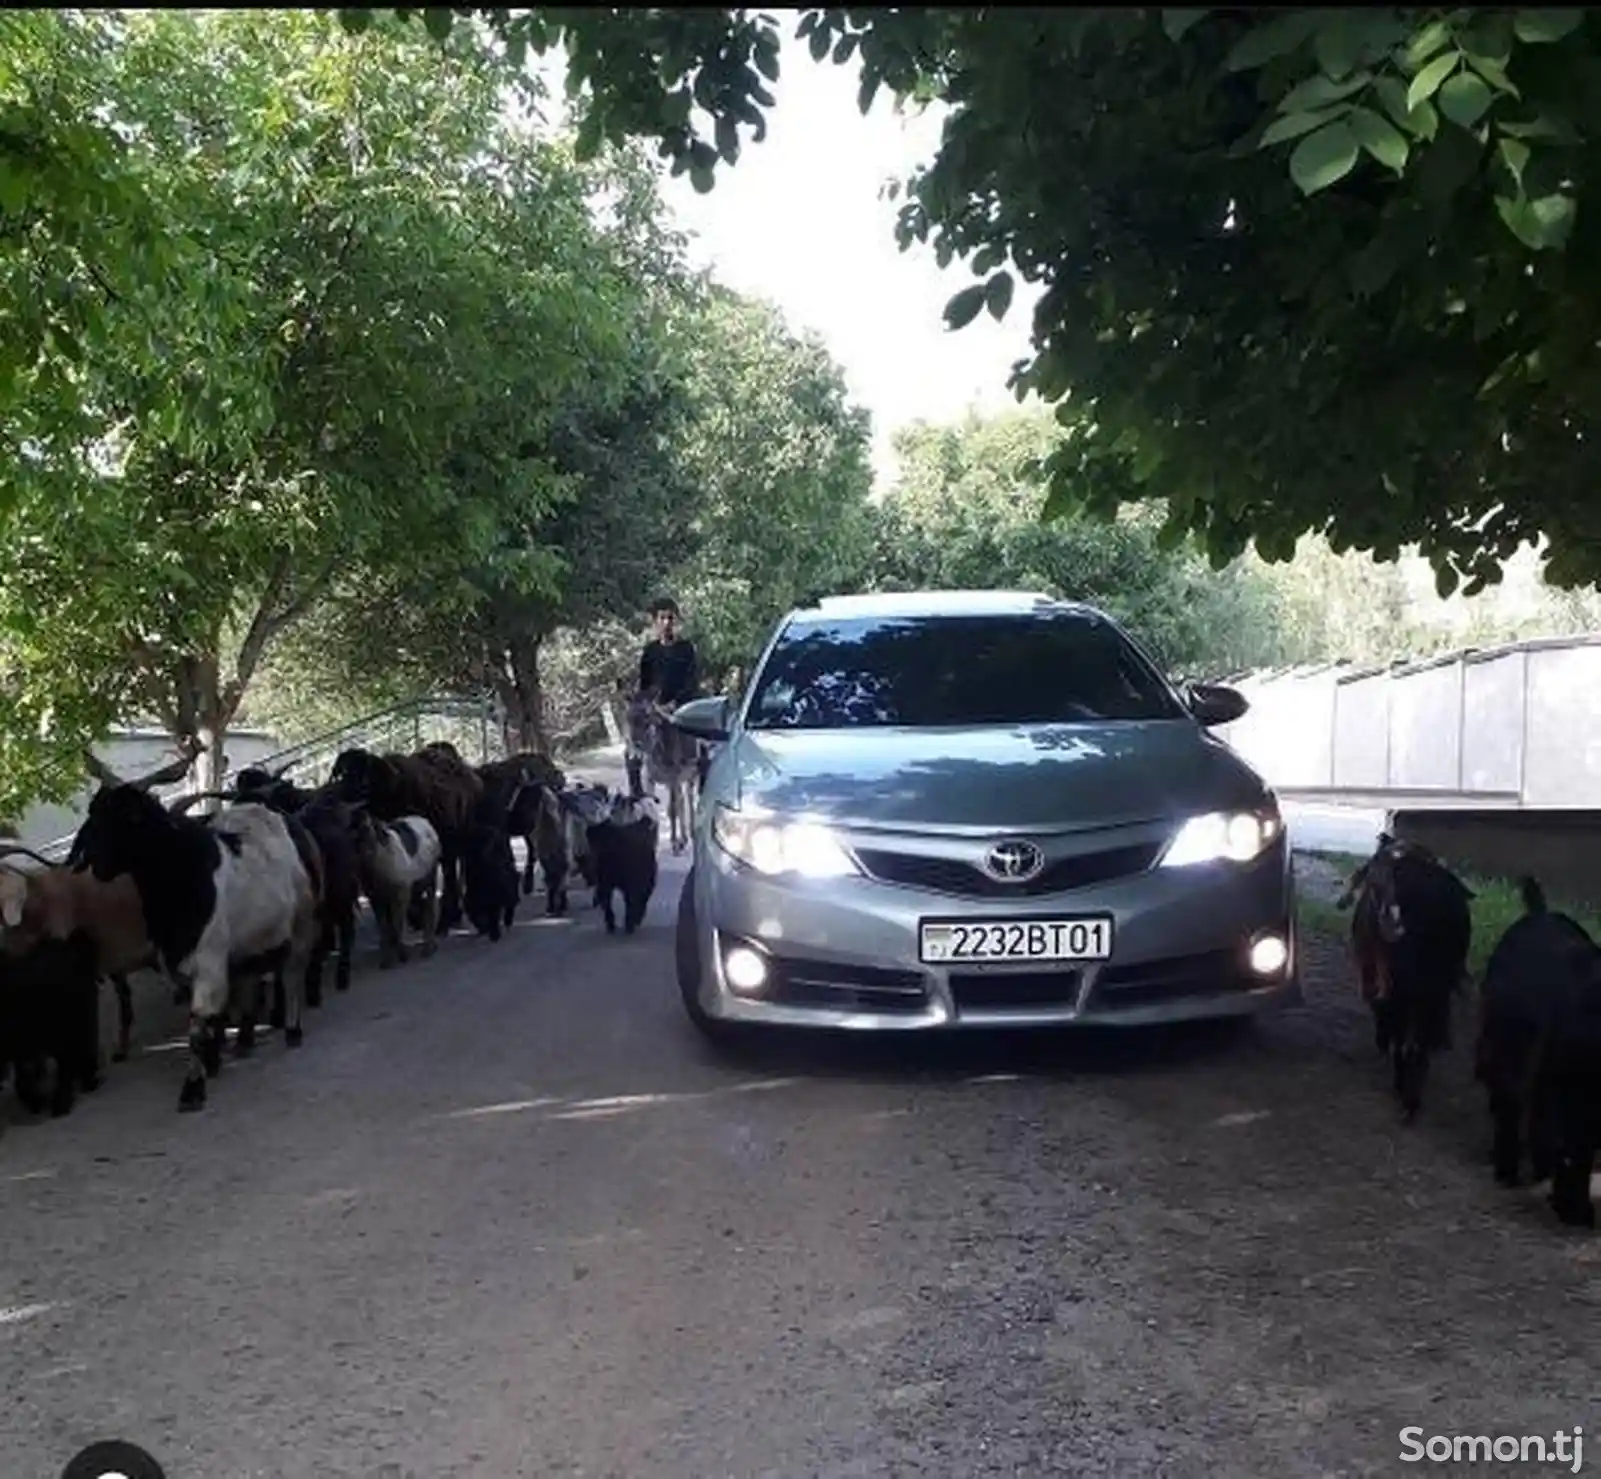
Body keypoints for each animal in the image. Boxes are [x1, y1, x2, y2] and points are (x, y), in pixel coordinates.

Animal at [74, 739, 321, 1107]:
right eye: (94, 811)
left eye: (131, 816)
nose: (95, 863)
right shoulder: (182, 963)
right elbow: (209, 1019)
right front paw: (213, 1062)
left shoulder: (208, 961)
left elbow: (197, 1025)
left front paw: (192, 1088)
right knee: (251, 980)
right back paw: (245, 1039)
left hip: (301, 921)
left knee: (291, 972)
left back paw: (292, 1029)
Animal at [352, 809, 445, 973]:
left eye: (370, 827)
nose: (365, 852)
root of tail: (424, 820)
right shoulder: (375, 898)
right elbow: (384, 926)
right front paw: (386, 959)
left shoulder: (401, 894)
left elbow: (397, 923)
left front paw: (402, 955)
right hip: (416, 886)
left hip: (431, 878)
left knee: (430, 909)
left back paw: (429, 947)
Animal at [1332, 832, 1466, 1120]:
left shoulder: (1377, 975)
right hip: (1434, 986)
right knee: (1420, 1038)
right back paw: (1411, 1094)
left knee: (1405, 1034)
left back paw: (1405, 1089)